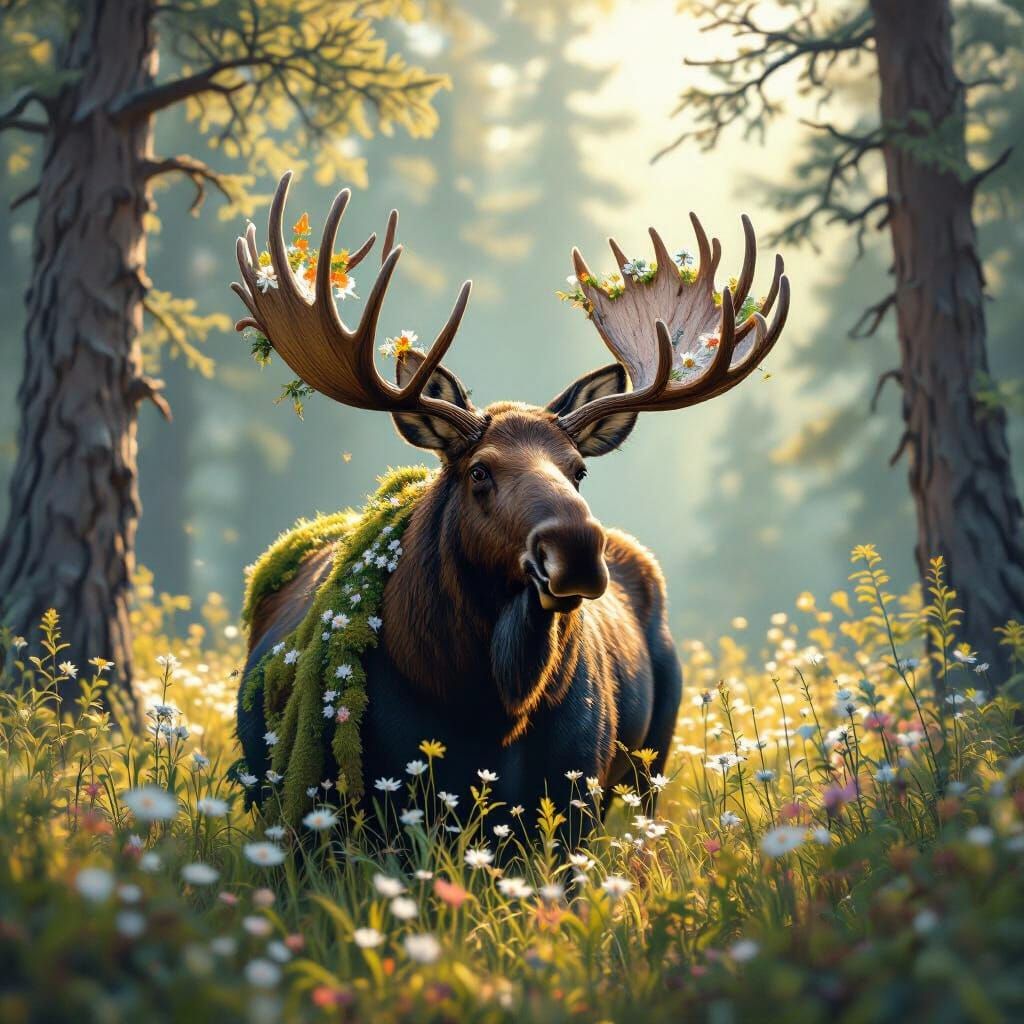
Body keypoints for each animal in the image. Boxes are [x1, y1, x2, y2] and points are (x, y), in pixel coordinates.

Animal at [231, 172, 789, 832]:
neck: (487, 712)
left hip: (651, 763)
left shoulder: (573, 797)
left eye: (579, 471)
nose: (576, 549)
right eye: (479, 471)